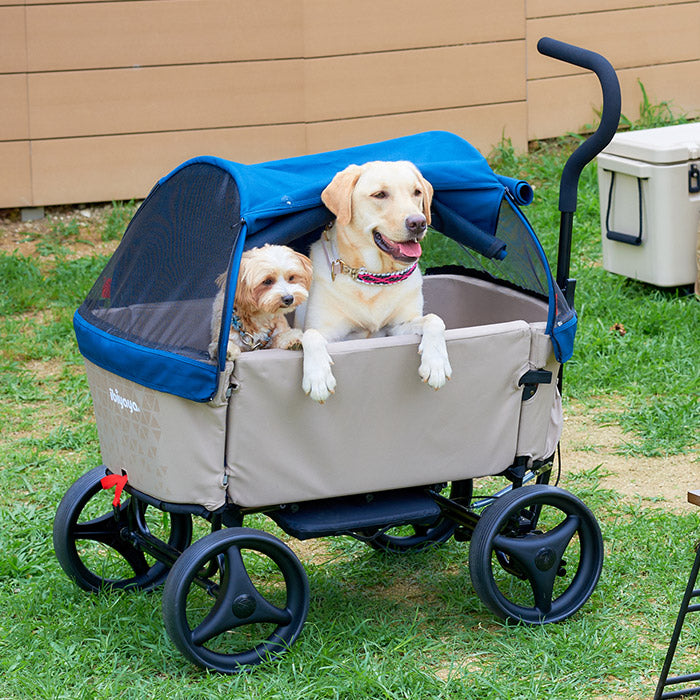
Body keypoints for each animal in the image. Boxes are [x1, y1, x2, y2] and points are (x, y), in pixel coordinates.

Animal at [300, 157, 454, 400]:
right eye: (380, 194)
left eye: (417, 192)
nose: (419, 222)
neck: (373, 277)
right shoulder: (330, 333)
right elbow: (311, 335)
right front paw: (318, 378)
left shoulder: (396, 328)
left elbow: (434, 319)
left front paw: (436, 364)